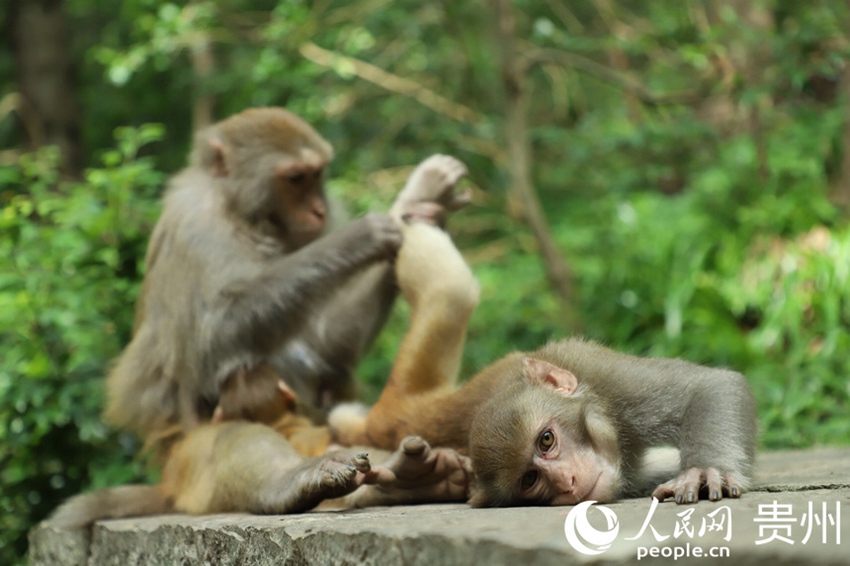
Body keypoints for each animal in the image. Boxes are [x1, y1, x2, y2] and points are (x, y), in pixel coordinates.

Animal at [103, 105, 470, 458]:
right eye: (295, 178)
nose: (320, 210)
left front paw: (419, 199)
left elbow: (327, 347)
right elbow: (208, 343)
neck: (244, 217)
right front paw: (356, 239)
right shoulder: (196, 231)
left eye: (316, 174)